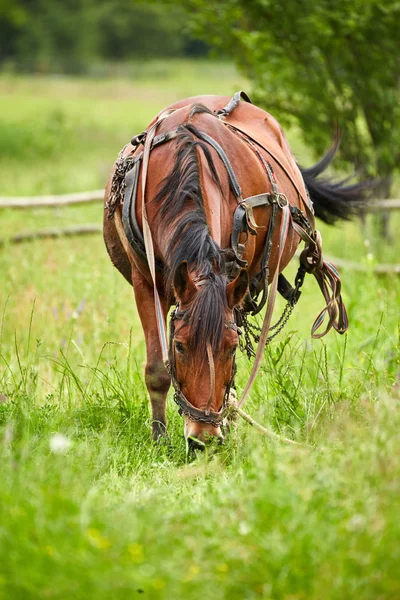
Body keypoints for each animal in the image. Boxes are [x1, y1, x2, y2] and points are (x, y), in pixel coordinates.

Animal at [103, 91, 366, 448]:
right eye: (180, 345)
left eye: (228, 348)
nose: (203, 440)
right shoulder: (145, 282)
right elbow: (157, 367)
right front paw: (159, 438)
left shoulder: (235, 283)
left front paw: (226, 421)